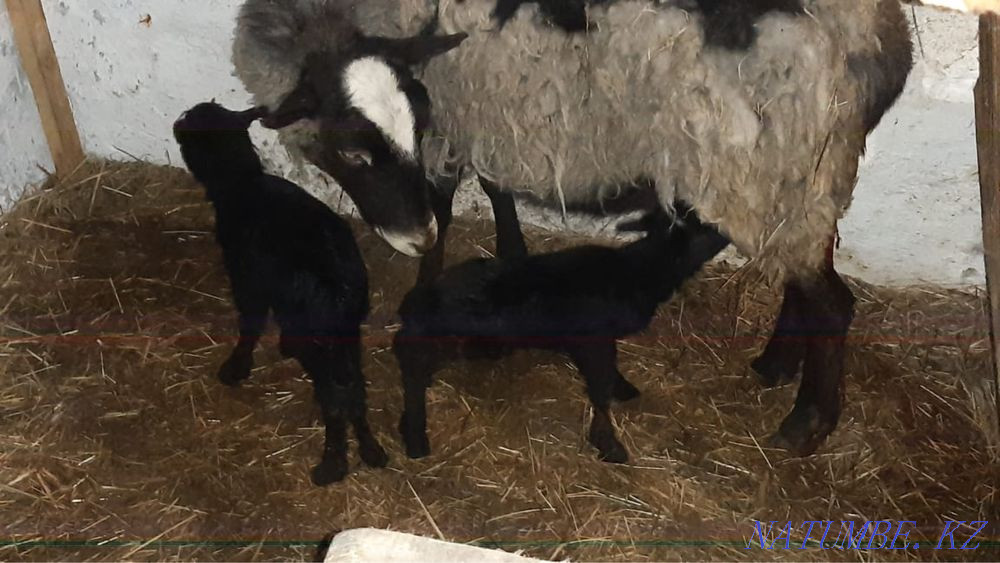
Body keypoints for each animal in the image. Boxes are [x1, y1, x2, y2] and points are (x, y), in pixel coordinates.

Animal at [172, 101, 388, 486]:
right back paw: (371, 450)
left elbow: (250, 322)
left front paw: (236, 367)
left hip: (318, 338)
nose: (176, 124)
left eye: (192, 124)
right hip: (345, 335)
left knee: (335, 396)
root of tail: (337, 288)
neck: (242, 184)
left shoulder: (248, 279)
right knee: (355, 388)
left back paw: (332, 464)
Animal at [393, 198, 729, 463]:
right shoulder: (596, 340)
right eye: (707, 225)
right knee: (411, 362)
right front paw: (609, 442)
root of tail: (416, 301)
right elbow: (601, 387)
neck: (641, 270)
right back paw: (415, 435)